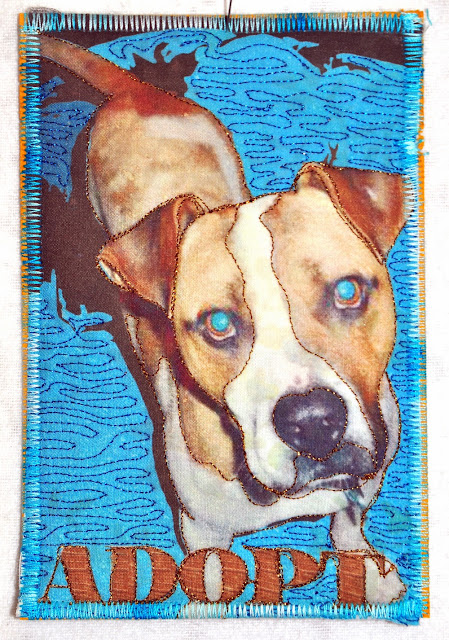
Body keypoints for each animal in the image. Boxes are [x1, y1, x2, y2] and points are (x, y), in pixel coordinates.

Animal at [40, 36, 406, 604]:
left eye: (347, 291)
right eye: (218, 324)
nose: (313, 422)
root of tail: (138, 92)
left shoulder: (365, 481)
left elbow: (348, 524)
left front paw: (362, 566)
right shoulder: (203, 529)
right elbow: (211, 570)